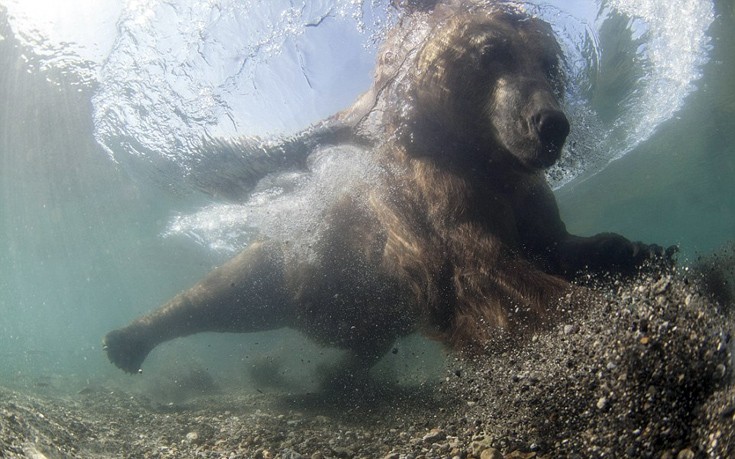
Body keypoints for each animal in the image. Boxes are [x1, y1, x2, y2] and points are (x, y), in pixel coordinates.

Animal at [103, 1, 672, 378]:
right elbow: (481, 269)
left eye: (549, 64)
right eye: (493, 54)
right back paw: (126, 339)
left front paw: (637, 249)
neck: (481, 158)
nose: (550, 124)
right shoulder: (435, 198)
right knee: (229, 290)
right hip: (301, 260)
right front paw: (596, 322)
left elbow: (553, 241)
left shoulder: (522, 190)